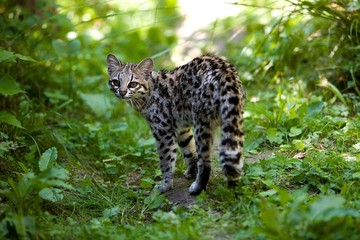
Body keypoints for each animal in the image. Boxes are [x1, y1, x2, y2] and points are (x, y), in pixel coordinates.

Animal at [106, 53, 245, 195]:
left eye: (133, 84)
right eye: (116, 82)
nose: (122, 92)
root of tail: (226, 73)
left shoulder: (163, 131)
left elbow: (166, 160)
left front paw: (165, 185)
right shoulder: (182, 128)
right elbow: (189, 151)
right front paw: (191, 172)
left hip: (201, 122)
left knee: (205, 161)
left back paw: (198, 187)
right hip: (235, 118)